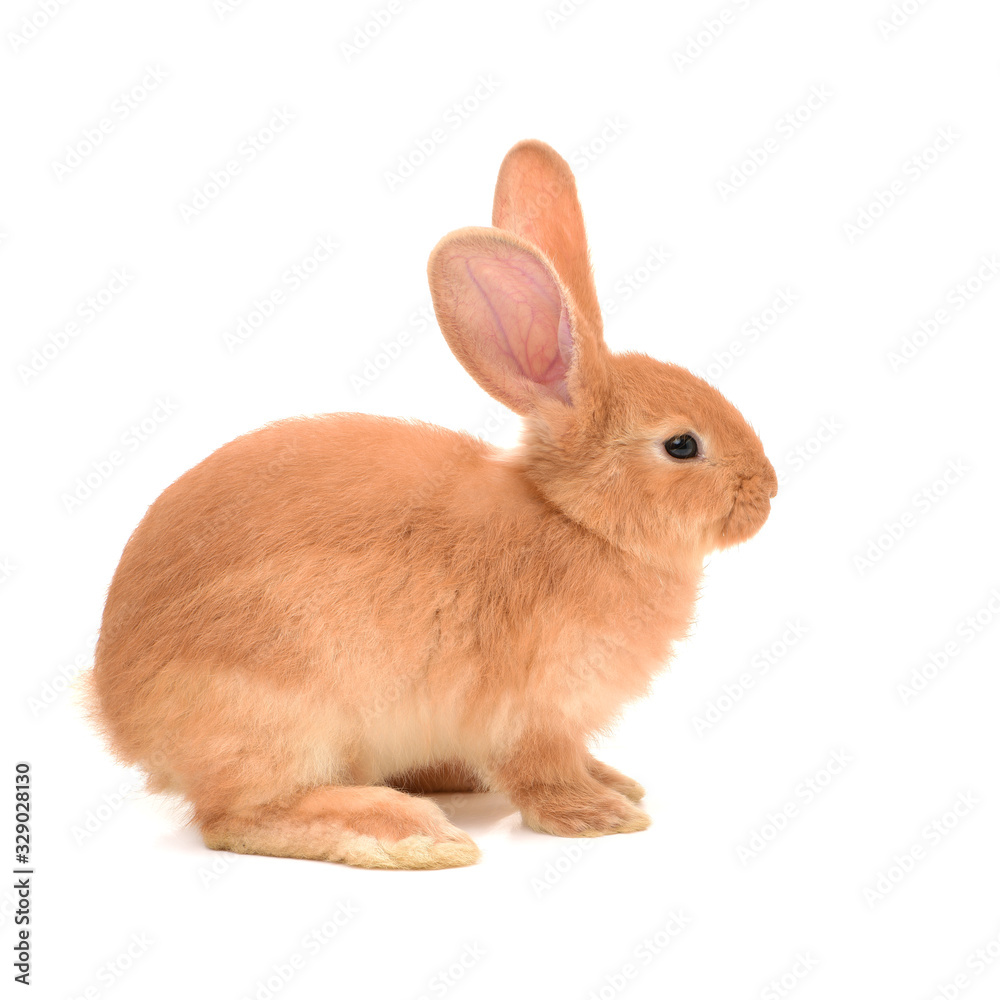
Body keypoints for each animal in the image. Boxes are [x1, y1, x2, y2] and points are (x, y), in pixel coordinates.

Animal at [88, 139, 777, 870]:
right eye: (682, 445)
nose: (768, 492)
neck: (577, 520)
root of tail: (119, 713)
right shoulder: (533, 708)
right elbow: (541, 770)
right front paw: (598, 814)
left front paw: (615, 783)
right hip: (276, 707)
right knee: (238, 817)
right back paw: (406, 831)